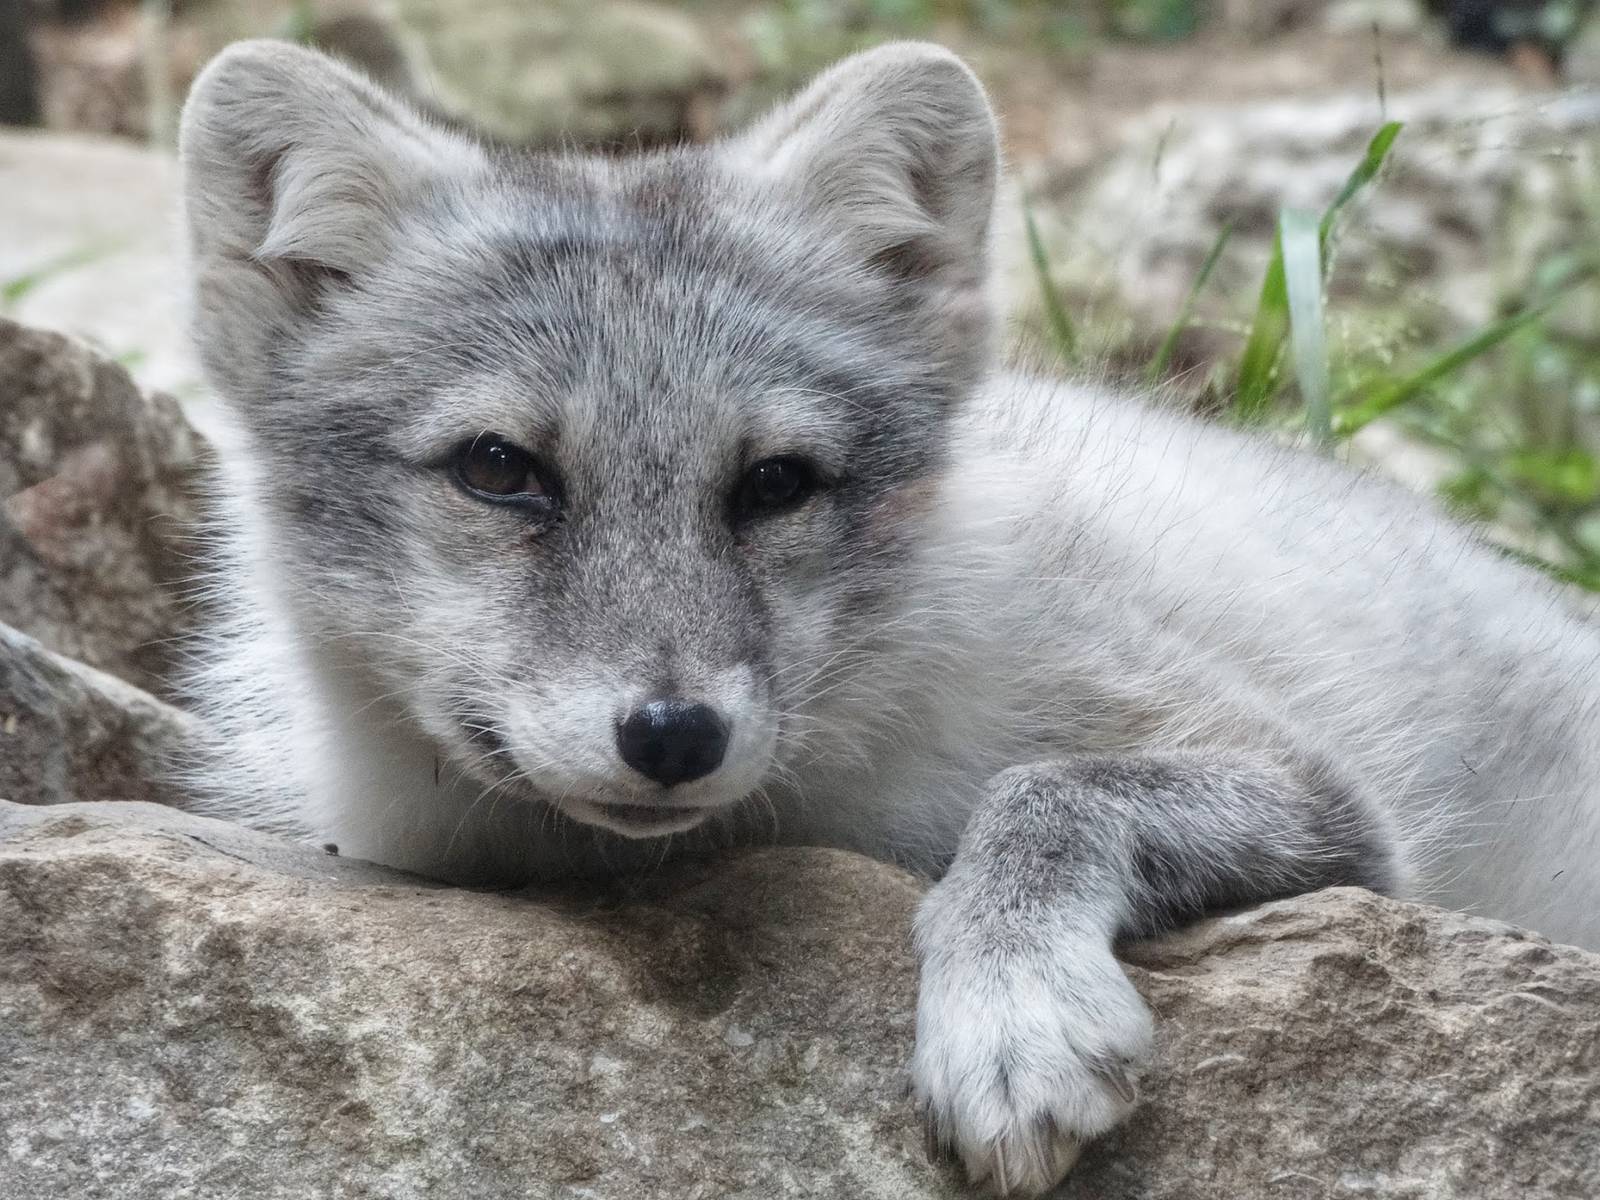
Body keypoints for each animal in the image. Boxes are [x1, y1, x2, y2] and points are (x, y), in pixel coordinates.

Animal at [177, 38, 1600, 1197]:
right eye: (497, 469)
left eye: (775, 484)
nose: (673, 736)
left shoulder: (1326, 804)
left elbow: (1043, 792)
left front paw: (1011, 1016)